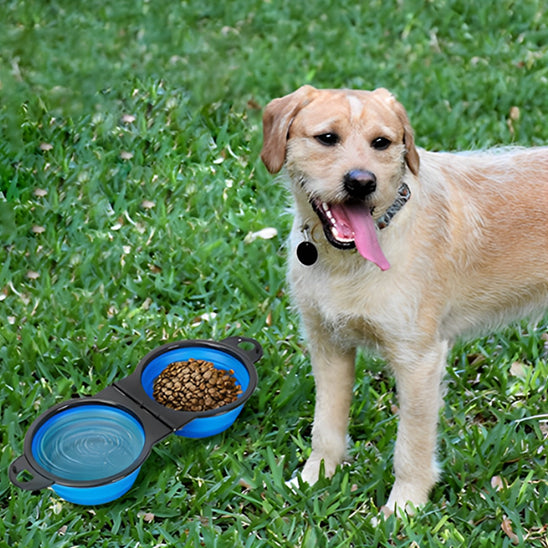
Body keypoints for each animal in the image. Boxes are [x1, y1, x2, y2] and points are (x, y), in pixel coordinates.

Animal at [260, 85, 548, 512]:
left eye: (382, 143)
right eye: (327, 138)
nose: (362, 182)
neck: (348, 262)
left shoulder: (419, 361)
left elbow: (410, 448)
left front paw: (402, 509)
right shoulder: (328, 345)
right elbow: (325, 428)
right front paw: (315, 480)